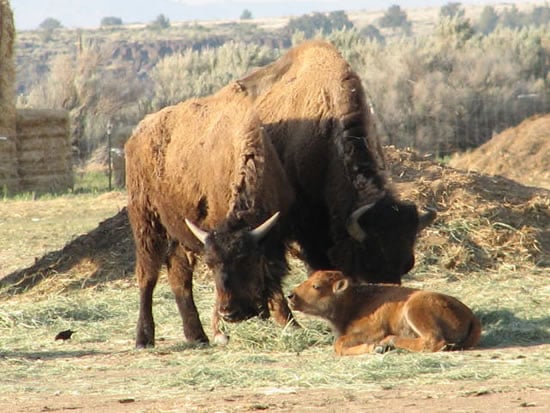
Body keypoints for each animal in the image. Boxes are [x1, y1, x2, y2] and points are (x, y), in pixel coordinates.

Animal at [126, 82, 298, 346]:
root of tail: (137, 134)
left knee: (179, 277)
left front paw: (289, 322)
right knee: (147, 275)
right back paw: (144, 338)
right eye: (211, 264)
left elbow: (273, 276)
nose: (230, 312)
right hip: (146, 223)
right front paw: (220, 332)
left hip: (177, 234)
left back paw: (196, 335)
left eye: (245, 259)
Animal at [288, 270, 484, 354]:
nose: (291, 295)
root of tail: (471, 315)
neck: (354, 300)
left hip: (414, 309)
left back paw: (387, 343)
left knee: (434, 342)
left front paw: (373, 347)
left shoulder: (373, 330)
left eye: (316, 286)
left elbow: (339, 345)